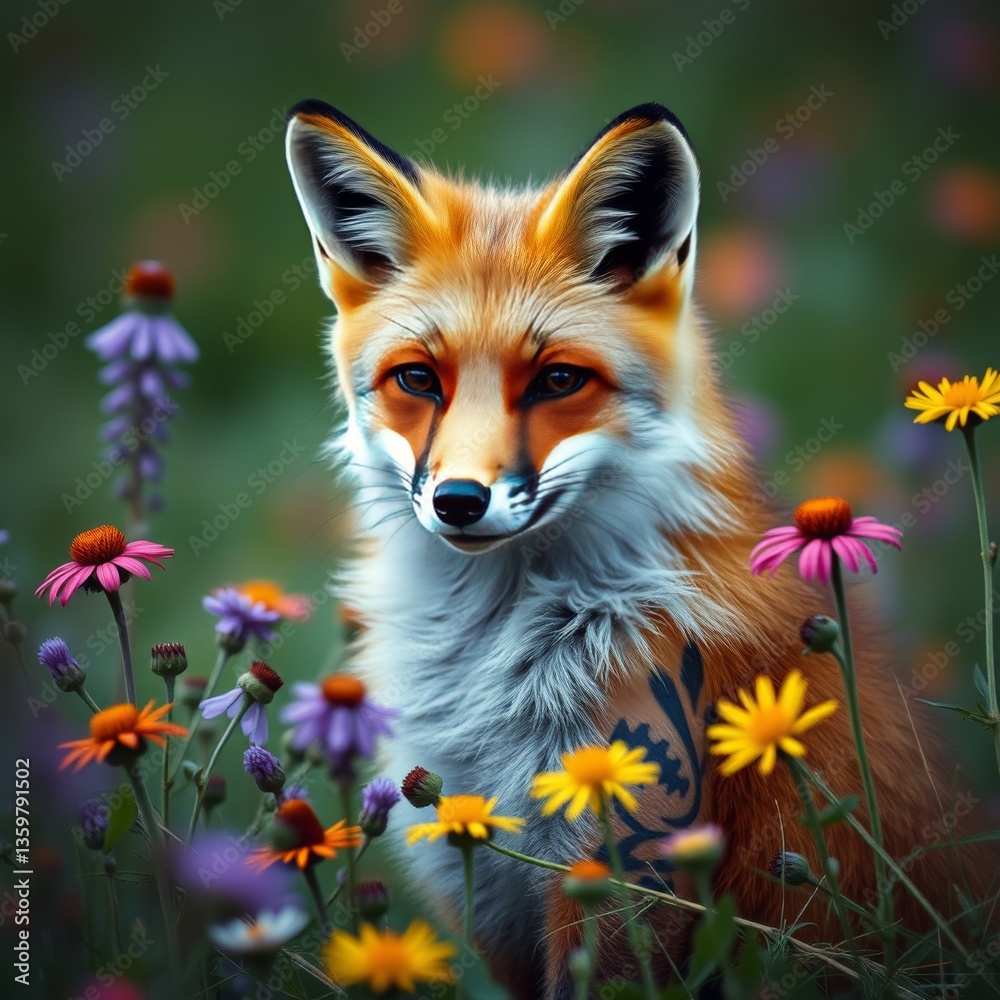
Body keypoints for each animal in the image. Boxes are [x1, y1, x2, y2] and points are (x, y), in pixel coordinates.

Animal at [284, 100, 984, 996]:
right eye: (417, 380)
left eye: (557, 380)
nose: (458, 501)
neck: (487, 672)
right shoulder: (472, 863)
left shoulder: (618, 856)